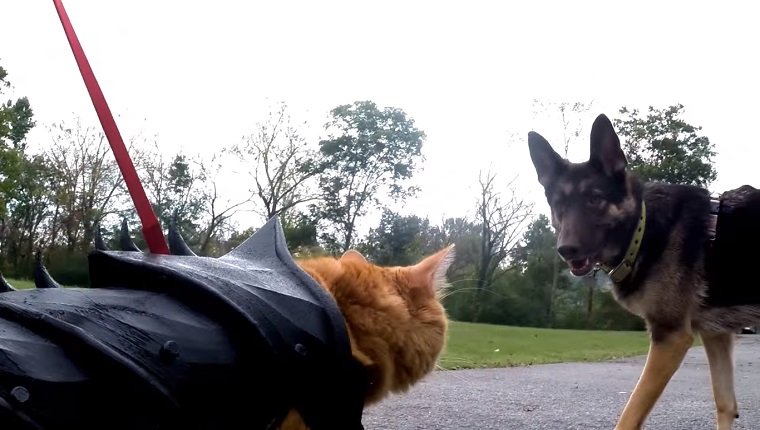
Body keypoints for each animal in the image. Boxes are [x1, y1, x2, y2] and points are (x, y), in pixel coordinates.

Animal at [528, 112, 760, 428]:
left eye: (595, 199)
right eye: (558, 204)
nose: (567, 250)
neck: (643, 227)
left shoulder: (670, 338)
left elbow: (630, 415)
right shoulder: (716, 335)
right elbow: (726, 404)